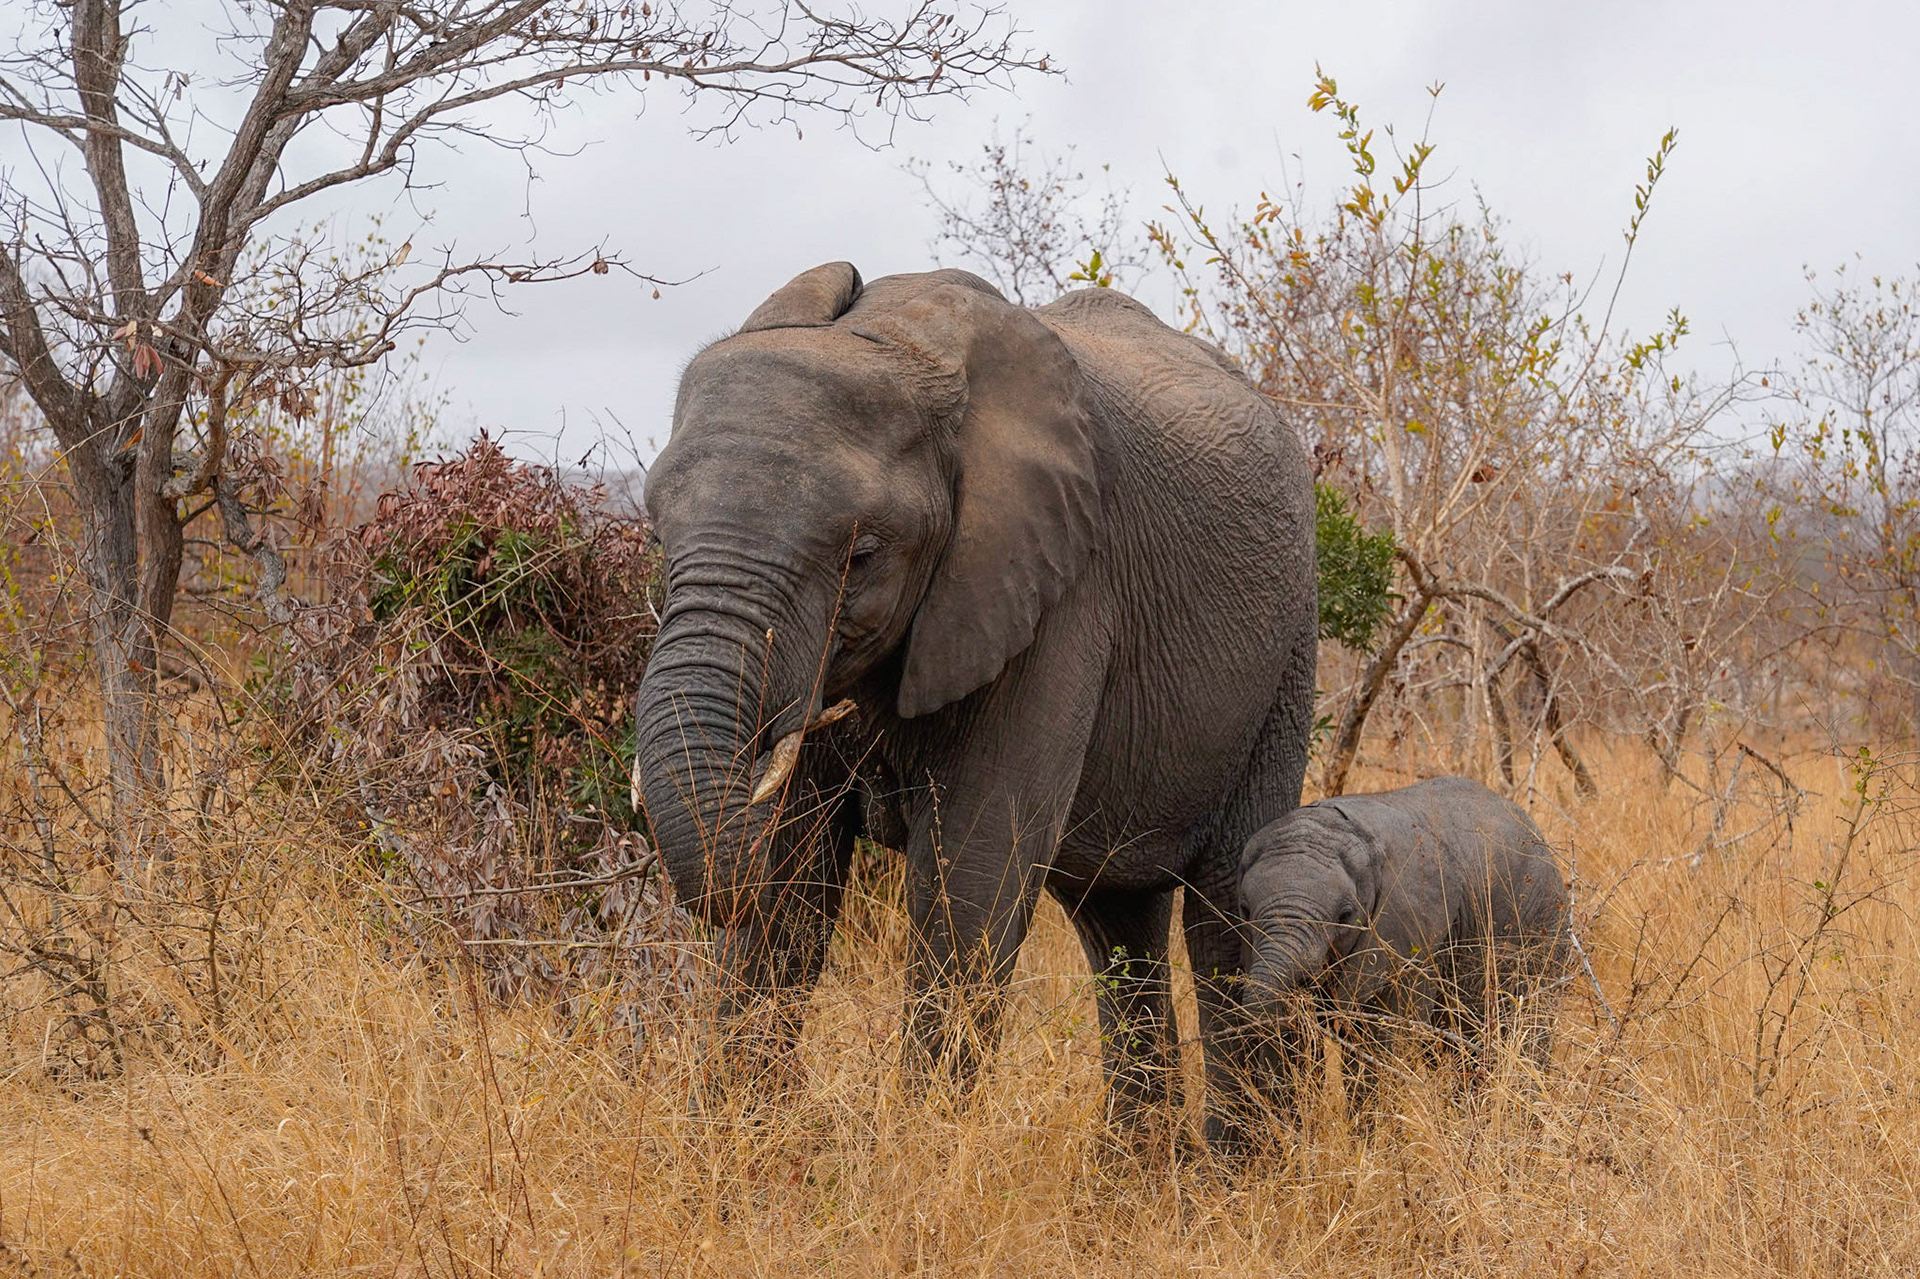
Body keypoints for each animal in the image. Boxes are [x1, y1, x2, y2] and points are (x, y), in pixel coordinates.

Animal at [630, 261, 1316, 1146]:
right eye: (655, 537)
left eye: (861, 555)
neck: (893, 339)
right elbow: (791, 887)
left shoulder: (1057, 587)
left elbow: (970, 878)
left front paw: (911, 1162)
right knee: (1115, 922)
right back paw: (1141, 1172)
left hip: (1287, 652)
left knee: (1228, 905)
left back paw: (1245, 1166)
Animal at [1237, 776, 1571, 1121]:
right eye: (1244, 909)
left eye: (1346, 915)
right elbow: (1290, 1040)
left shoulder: (1411, 930)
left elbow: (1383, 1041)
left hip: (1541, 925)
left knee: (1524, 1032)